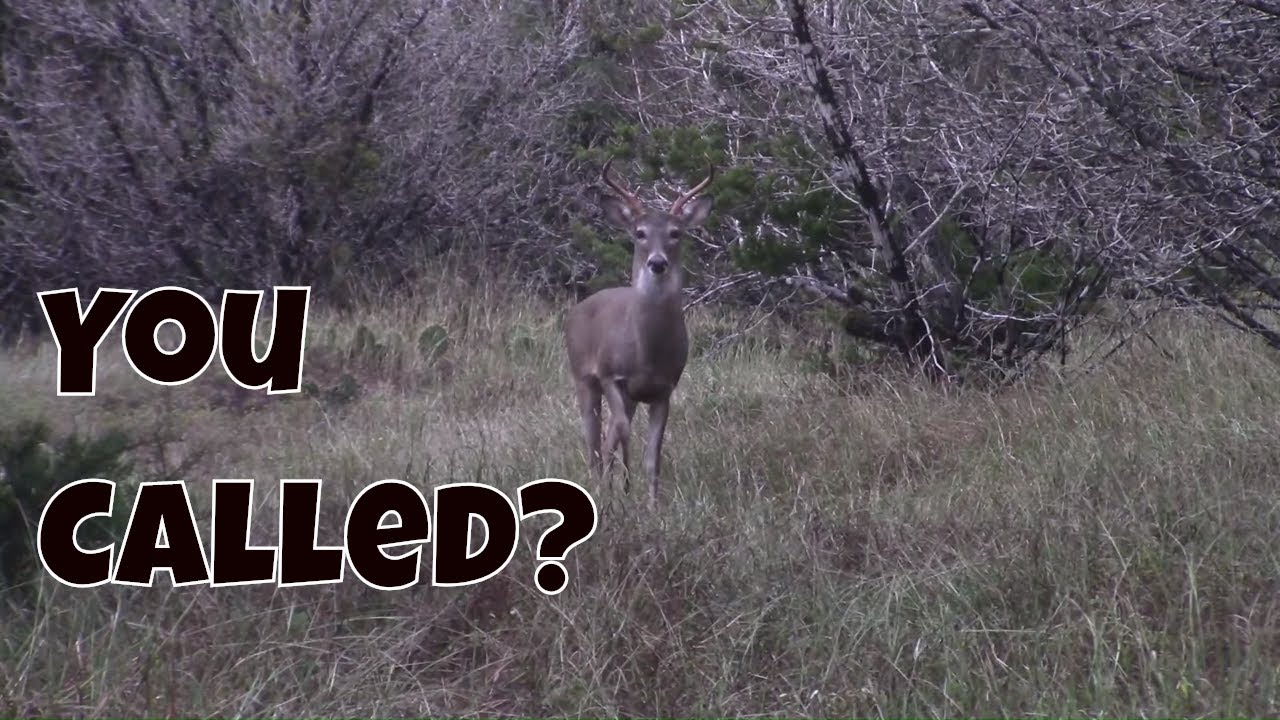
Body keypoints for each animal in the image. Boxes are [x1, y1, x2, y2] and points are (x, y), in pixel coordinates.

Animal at [564, 158, 715, 508]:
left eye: (675, 233)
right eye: (640, 233)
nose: (657, 263)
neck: (647, 352)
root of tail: (577, 309)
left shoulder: (664, 389)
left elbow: (652, 455)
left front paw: (651, 505)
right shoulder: (611, 375)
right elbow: (619, 434)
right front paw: (622, 490)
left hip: (629, 396)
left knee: (607, 437)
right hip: (583, 377)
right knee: (594, 441)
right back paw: (599, 487)